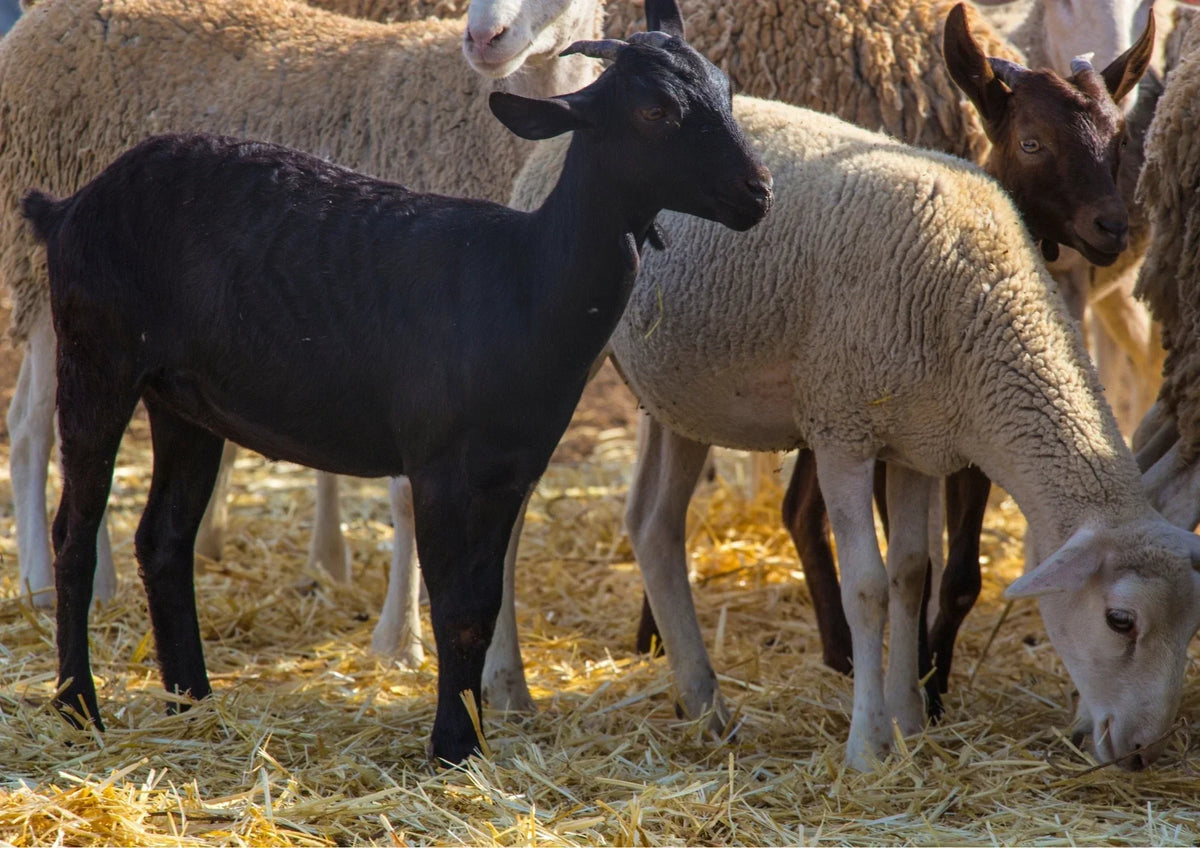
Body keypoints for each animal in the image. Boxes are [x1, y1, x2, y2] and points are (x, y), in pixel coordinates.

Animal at [0, 0, 603, 632]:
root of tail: (42, 18)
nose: (485, 38)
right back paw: (42, 584)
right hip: (56, 284)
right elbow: (408, 498)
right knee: (36, 426)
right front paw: (399, 636)